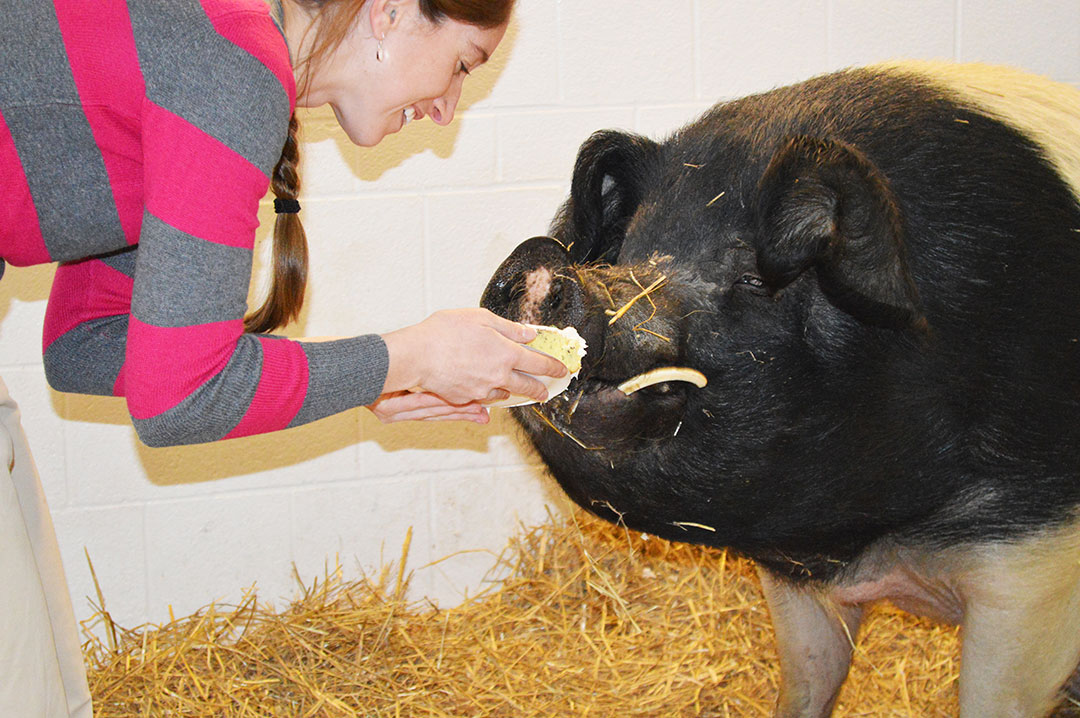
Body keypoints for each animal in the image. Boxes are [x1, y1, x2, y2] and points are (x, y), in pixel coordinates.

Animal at [483, 62, 1080, 716]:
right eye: (633, 251)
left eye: (753, 278)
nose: (535, 264)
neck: (876, 540)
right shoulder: (797, 581)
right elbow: (808, 681)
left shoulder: (1035, 562)